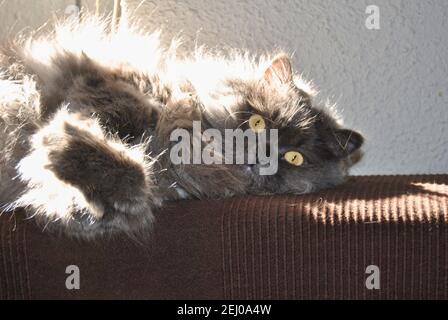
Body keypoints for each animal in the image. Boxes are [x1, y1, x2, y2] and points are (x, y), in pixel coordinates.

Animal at [0, 13, 364, 238]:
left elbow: (126, 193)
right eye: (259, 122)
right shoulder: (105, 78)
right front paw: (60, 135)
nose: (263, 156)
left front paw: (59, 152)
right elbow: (135, 110)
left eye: (294, 159)